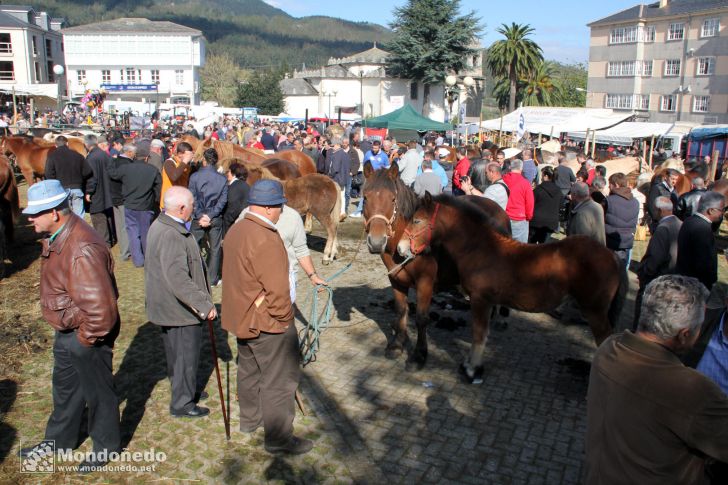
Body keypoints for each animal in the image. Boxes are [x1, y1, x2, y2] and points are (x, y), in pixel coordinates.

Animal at [360, 161, 510, 368]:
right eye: (365, 198)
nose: (376, 242)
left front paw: (419, 354)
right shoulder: (396, 280)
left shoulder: (425, 282)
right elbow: (400, 311)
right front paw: (397, 344)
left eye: (392, 199)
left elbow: (422, 318)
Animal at [396, 193, 624, 382]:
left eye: (417, 220)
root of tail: (611, 255)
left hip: (595, 311)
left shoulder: (480, 300)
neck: (482, 250)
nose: (400, 248)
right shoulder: (488, 302)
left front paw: (472, 369)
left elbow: (478, 333)